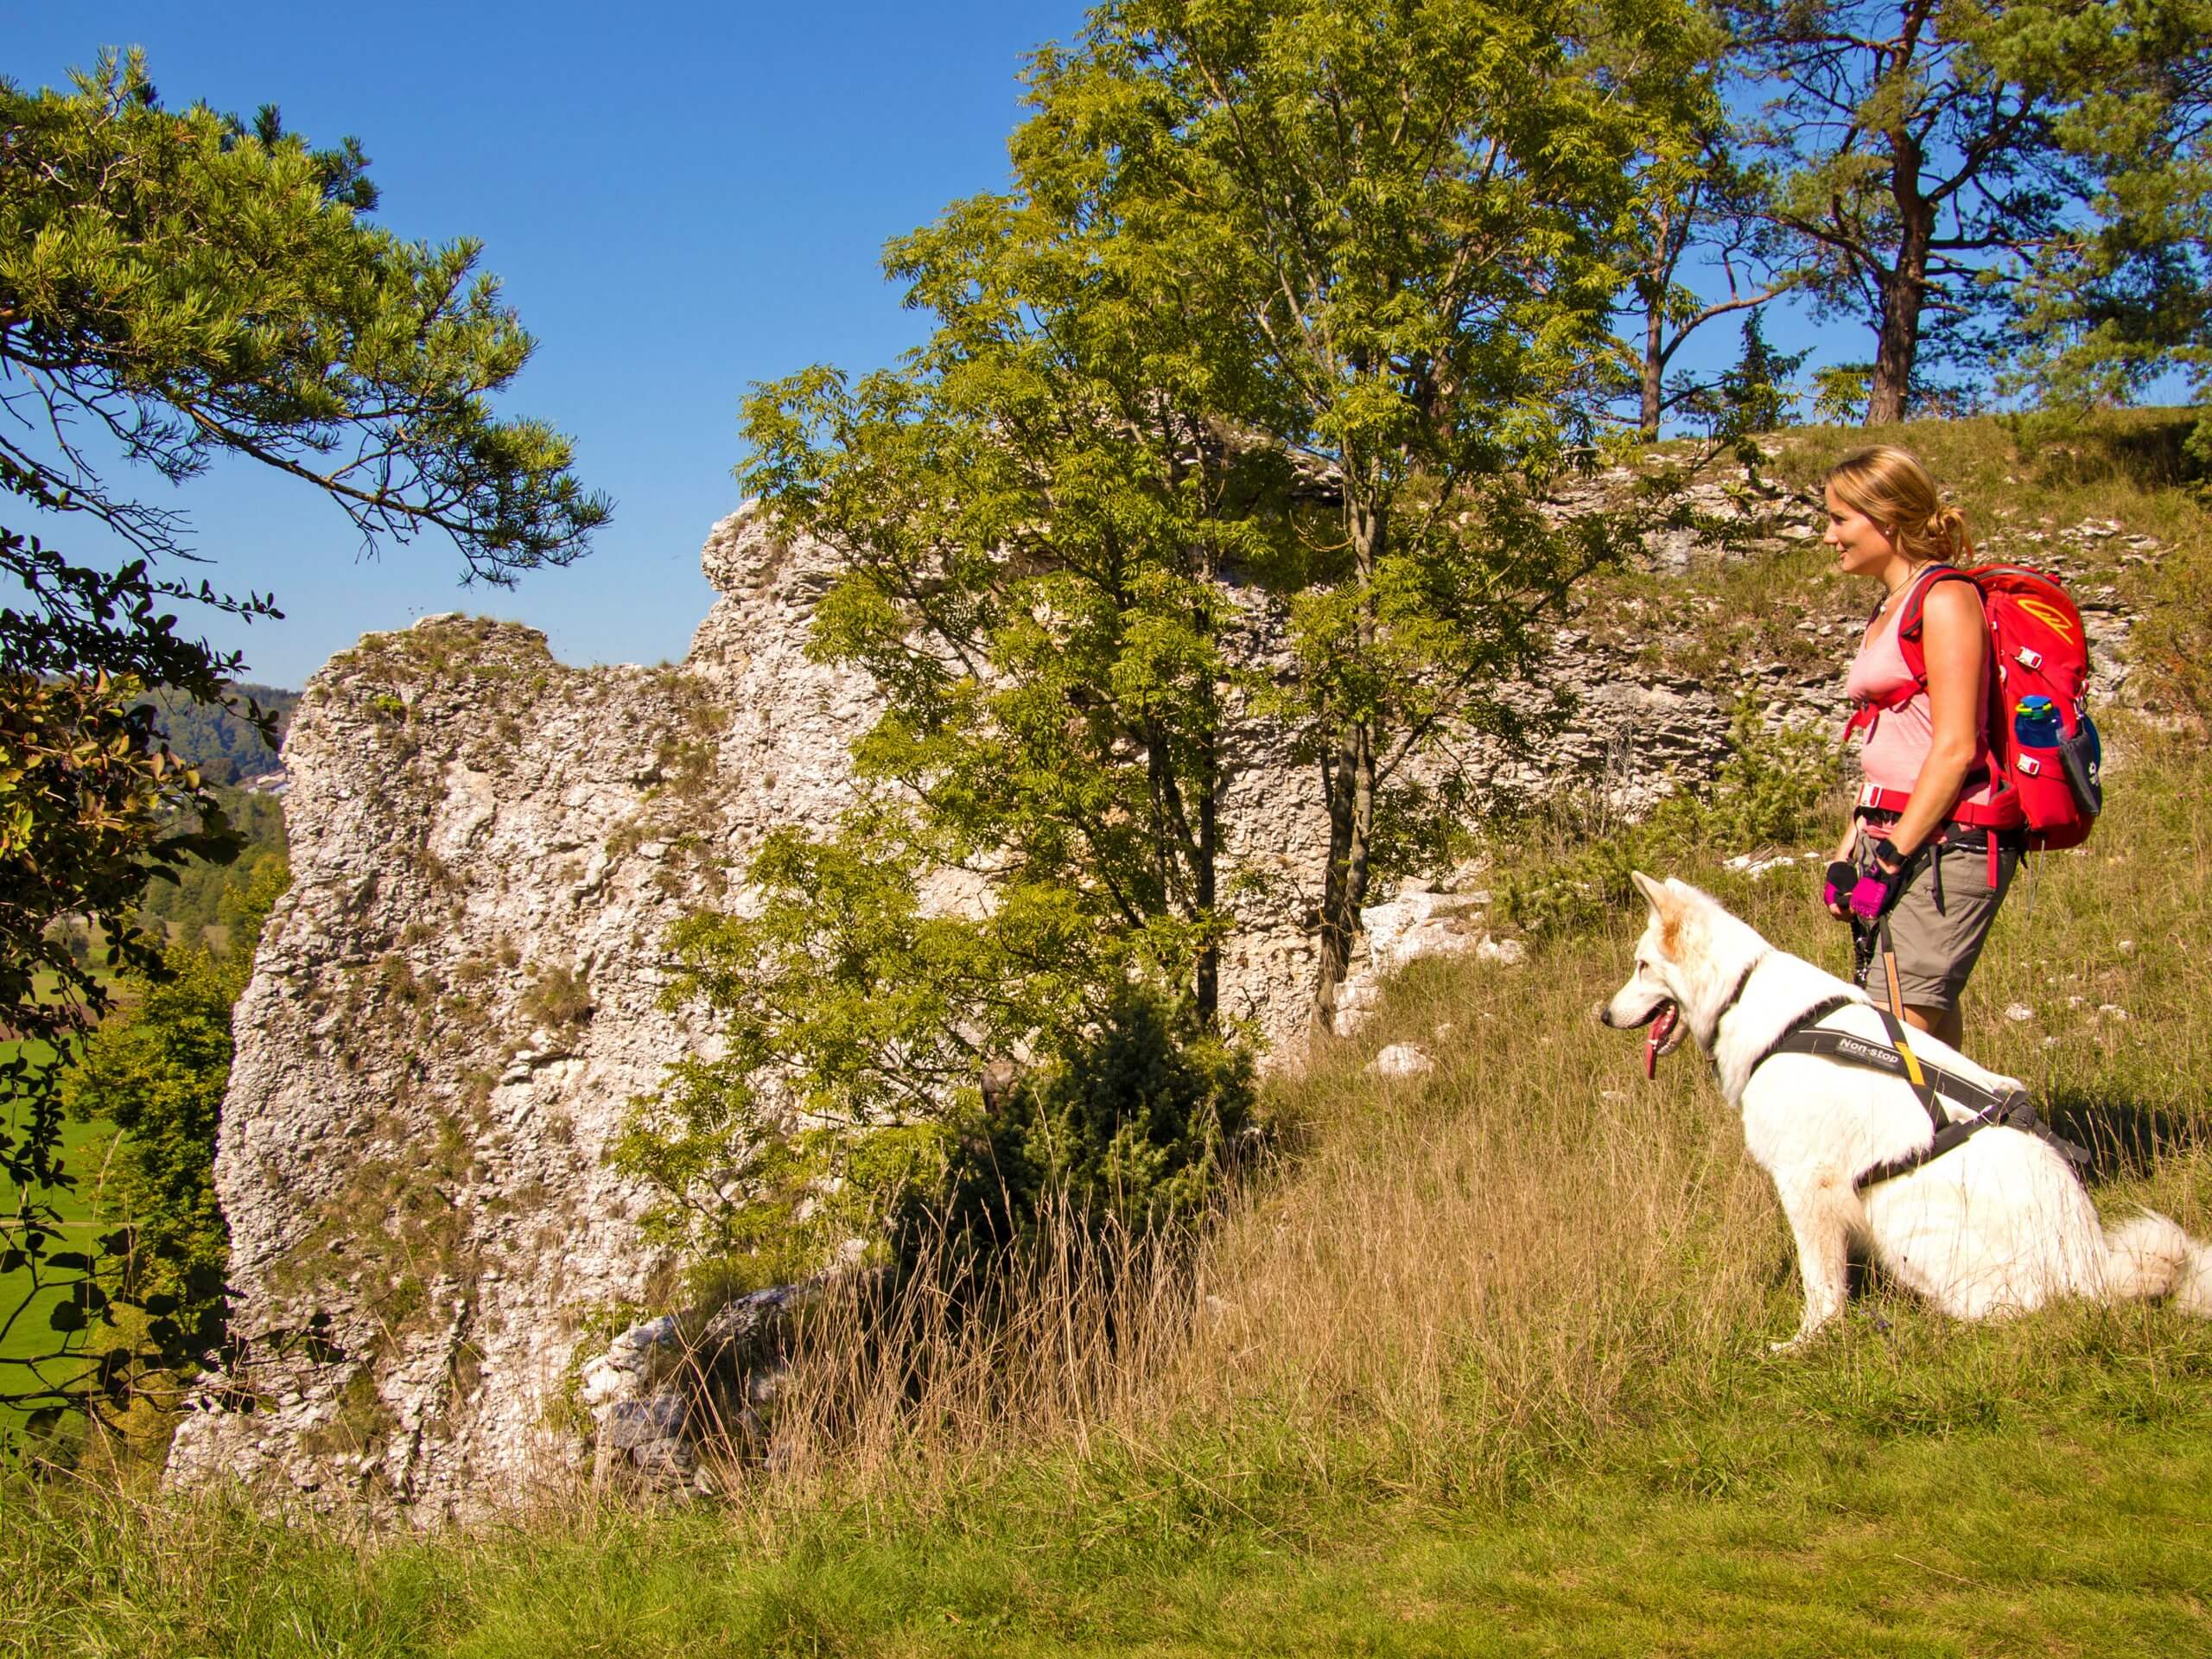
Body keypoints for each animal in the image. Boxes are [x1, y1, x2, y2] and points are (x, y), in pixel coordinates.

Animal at [1601, 871, 2202, 1353]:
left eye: (1641, 966)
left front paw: (1807, 1341)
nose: (1603, 1015)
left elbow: (1820, 1284)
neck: (1741, 992)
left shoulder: (1807, 1183)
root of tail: (2092, 1267)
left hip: (1901, 1216)